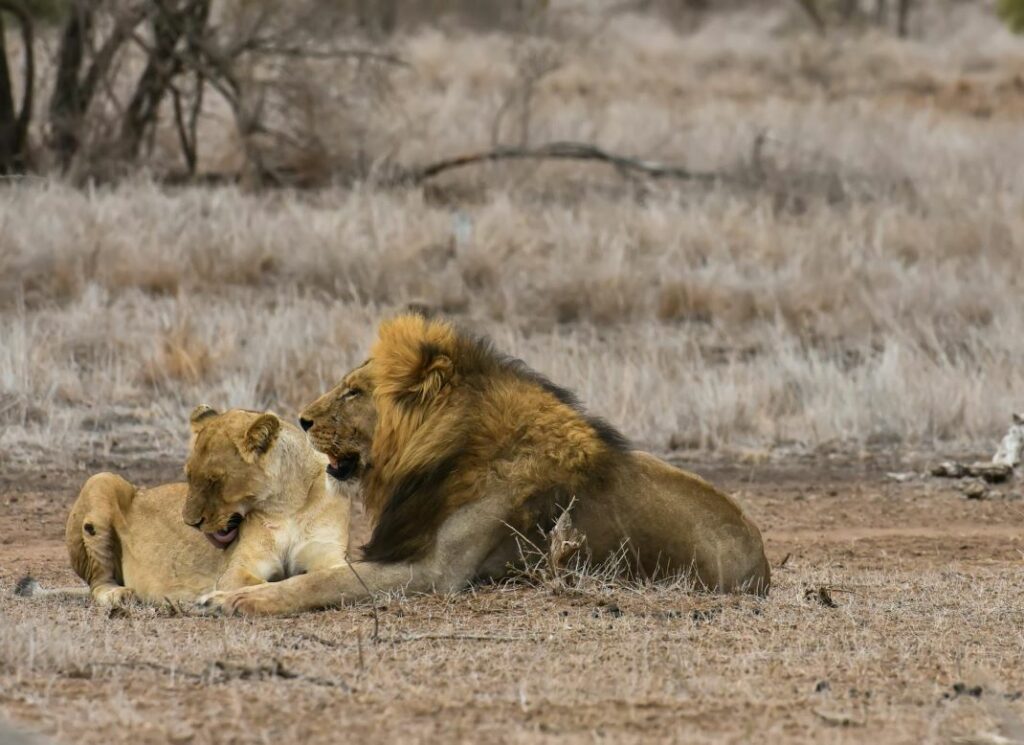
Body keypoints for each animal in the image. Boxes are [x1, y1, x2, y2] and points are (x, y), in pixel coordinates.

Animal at [59, 406, 350, 607]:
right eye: (188, 476)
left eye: (214, 480)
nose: (190, 523)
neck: (288, 504)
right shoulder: (236, 570)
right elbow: (257, 582)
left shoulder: (331, 559)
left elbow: (316, 579)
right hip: (101, 480)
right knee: (97, 583)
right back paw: (118, 595)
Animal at [200, 315, 770, 616]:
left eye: (354, 392)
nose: (302, 419)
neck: (452, 453)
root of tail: (762, 562)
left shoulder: (437, 573)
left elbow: (327, 582)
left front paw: (234, 598)